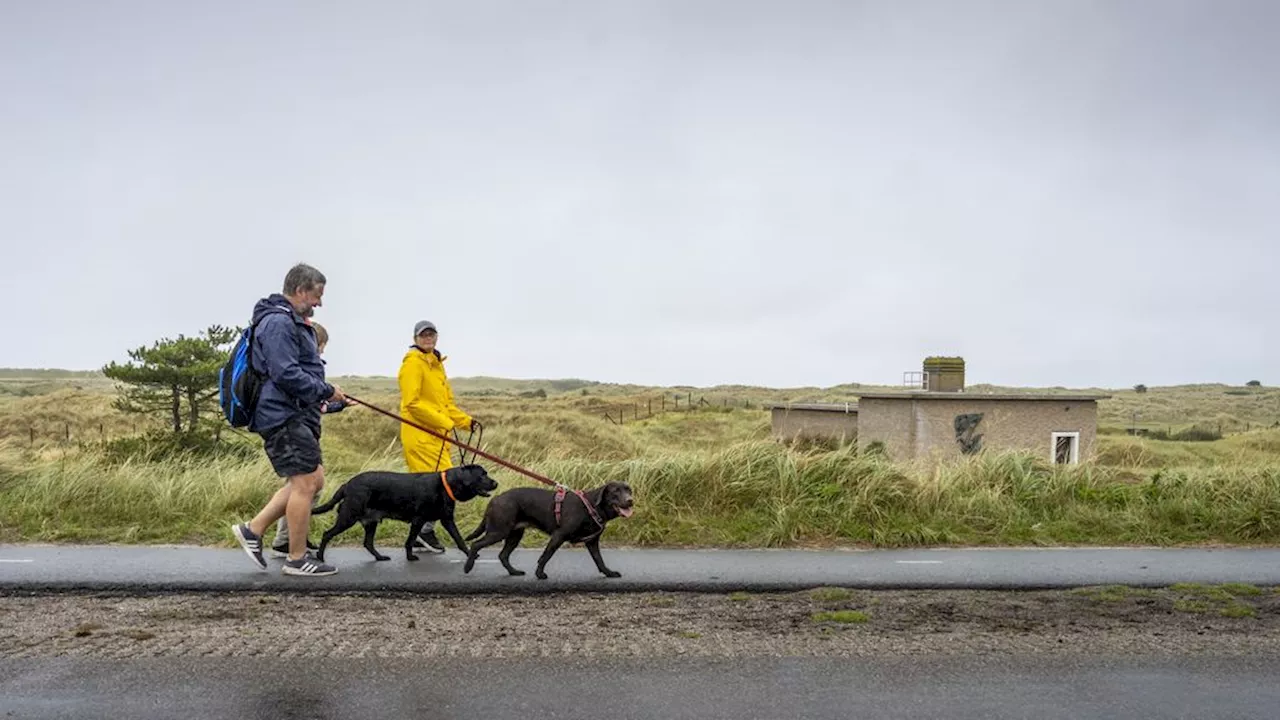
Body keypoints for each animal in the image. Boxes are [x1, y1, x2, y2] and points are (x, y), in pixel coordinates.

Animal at [309, 461, 499, 563]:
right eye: (482, 475)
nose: (496, 483)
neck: (447, 485)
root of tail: (347, 485)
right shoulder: (418, 520)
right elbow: (410, 541)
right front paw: (410, 557)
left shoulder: (447, 520)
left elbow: (459, 540)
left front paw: (470, 554)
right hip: (348, 517)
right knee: (327, 534)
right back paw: (320, 556)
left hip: (371, 522)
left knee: (368, 543)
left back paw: (380, 557)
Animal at [465, 481, 634, 576]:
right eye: (615, 491)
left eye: (629, 490)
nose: (630, 500)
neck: (591, 506)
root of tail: (494, 499)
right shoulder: (559, 535)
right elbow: (546, 556)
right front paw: (540, 574)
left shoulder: (592, 542)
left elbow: (599, 560)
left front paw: (608, 573)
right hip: (499, 531)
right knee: (475, 544)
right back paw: (468, 566)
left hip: (514, 535)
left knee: (503, 555)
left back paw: (514, 572)